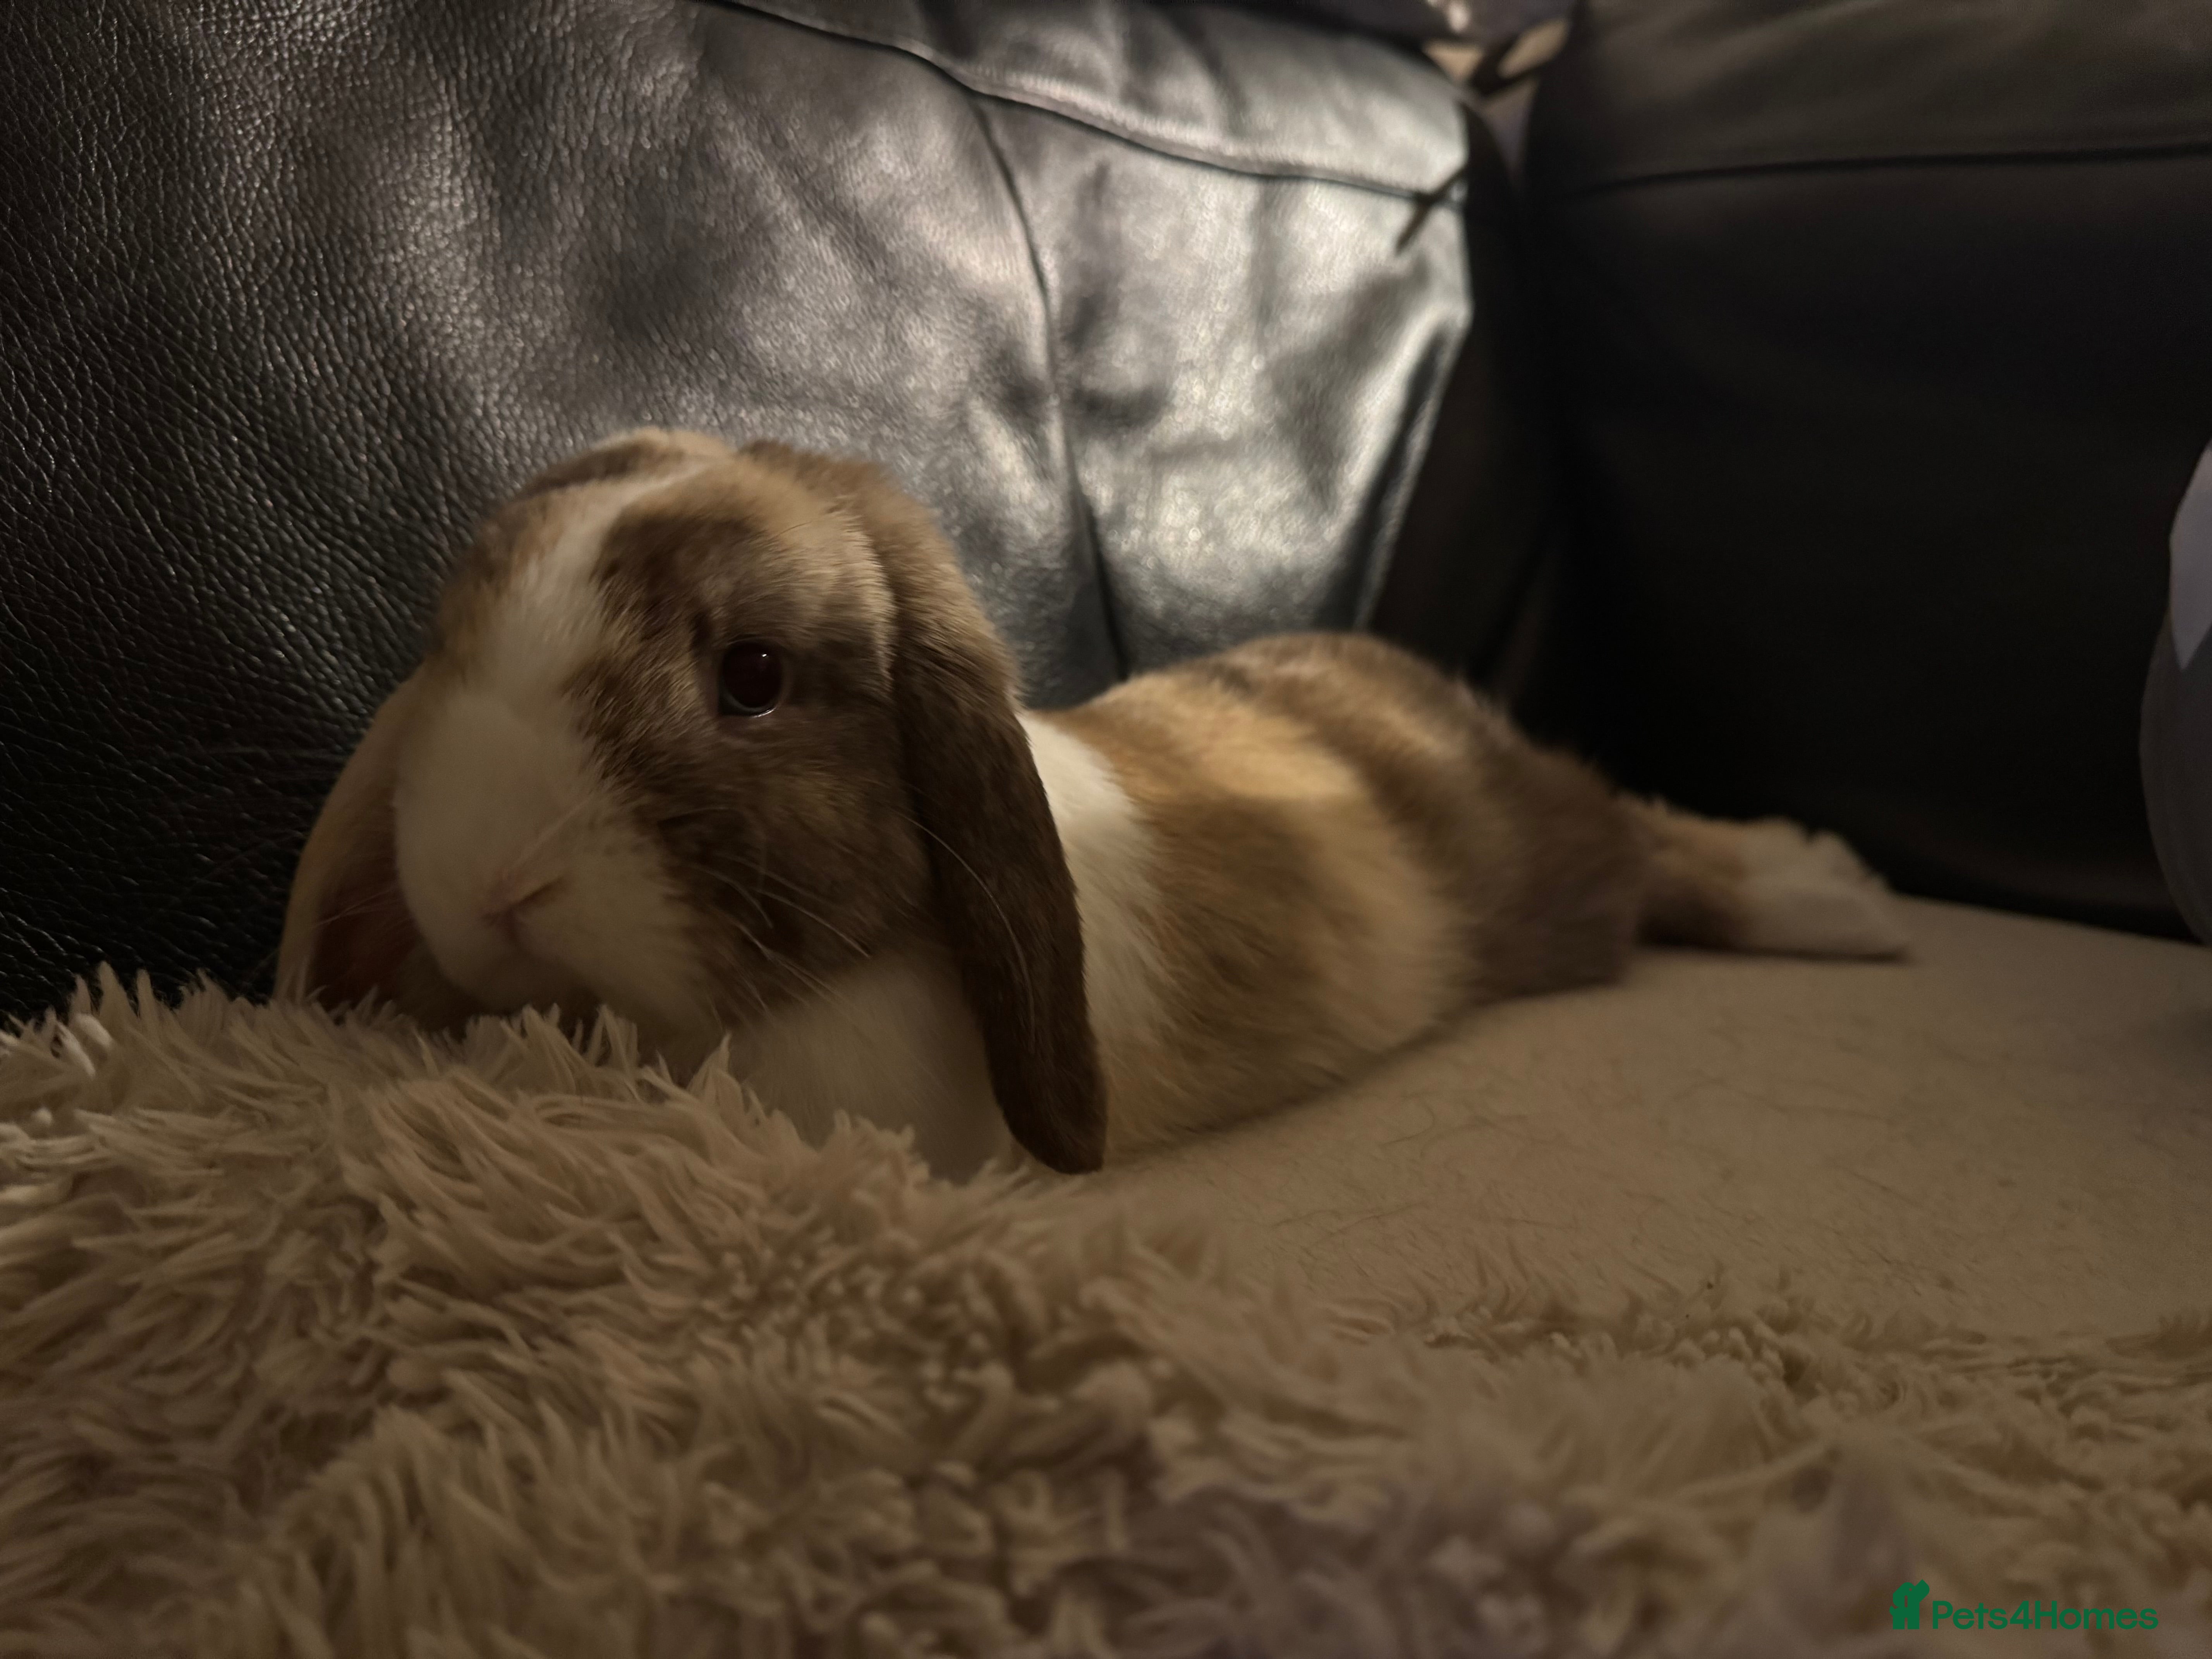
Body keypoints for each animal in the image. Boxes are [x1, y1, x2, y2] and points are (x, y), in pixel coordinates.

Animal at [279, 428, 1908, 1178]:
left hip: (1547, 873)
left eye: (752, 675)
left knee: (1644, 842)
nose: (490, 882)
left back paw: (1841, 897)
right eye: (449, 637)